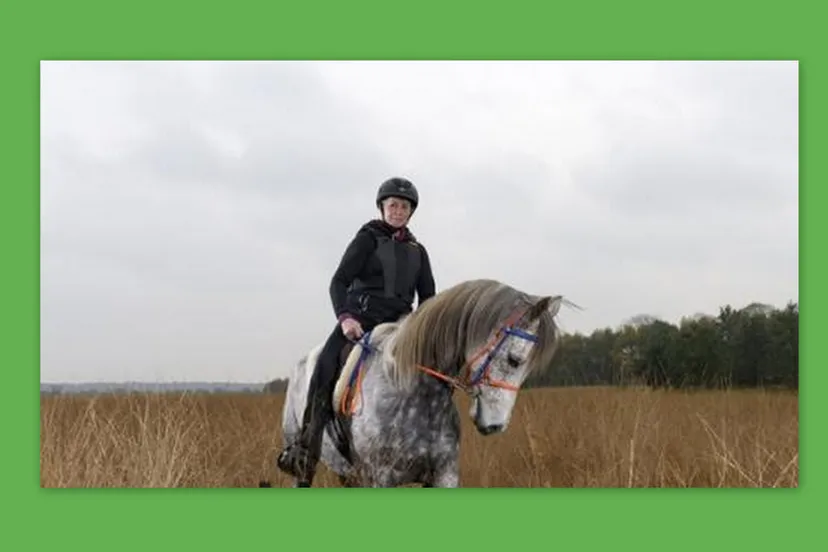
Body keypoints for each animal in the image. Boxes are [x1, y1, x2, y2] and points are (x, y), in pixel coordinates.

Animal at [272, 278, 568, 488]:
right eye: (515, 360)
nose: (495, 425)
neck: (415, 394)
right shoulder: (380, 478)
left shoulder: (444, 475)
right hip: (305, 464)